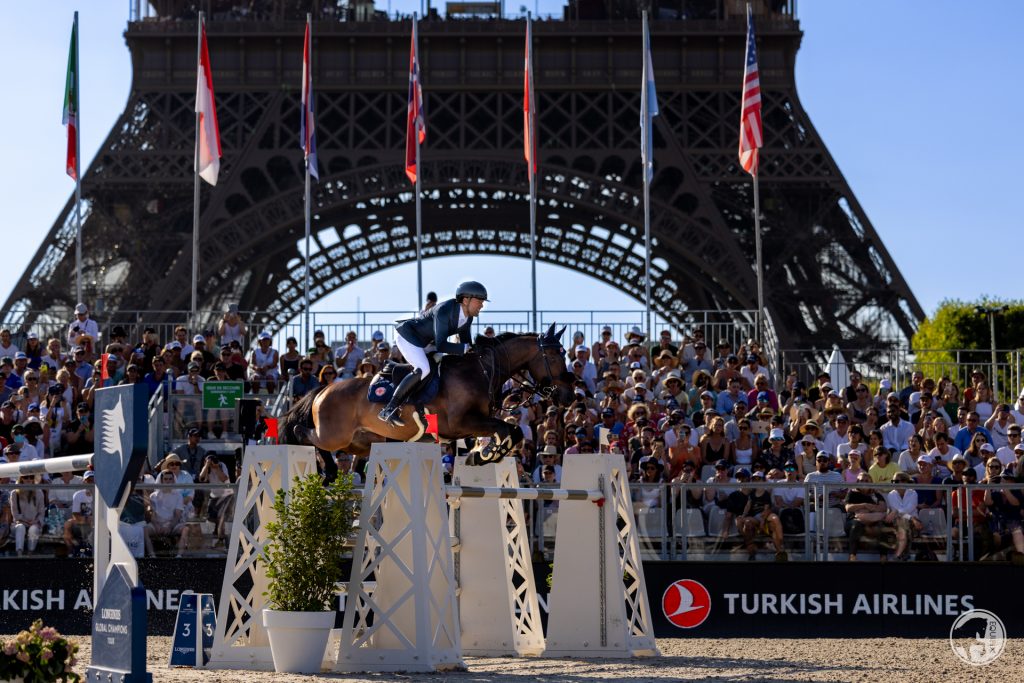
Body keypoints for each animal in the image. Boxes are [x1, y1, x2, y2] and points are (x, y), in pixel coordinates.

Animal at [288, 325, 577, 464]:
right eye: (554, 355)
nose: (570, 396)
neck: (481, 370)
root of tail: (324, 390)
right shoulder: (461, 424)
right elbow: (508, 429)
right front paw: (485, 454)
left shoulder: (475, 424)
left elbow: (510, 431)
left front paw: (483, 454)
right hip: (334, 435)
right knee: (306, 435)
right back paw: (326, 468)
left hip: (359, 441)